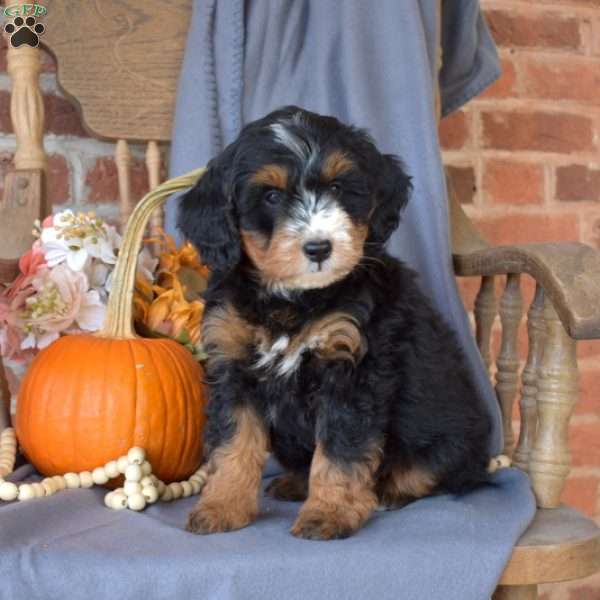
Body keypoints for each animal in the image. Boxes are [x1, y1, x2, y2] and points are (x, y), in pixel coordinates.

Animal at [178, 105, 492, 540]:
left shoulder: (351, 370)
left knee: (434, 473)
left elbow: (341, 450)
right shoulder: (233, 365)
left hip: (451, 439)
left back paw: (388, 491)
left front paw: (329, 513)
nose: (319, 248)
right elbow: (233, 442)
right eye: (271, 196)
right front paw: (221, 506)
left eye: (340, 188)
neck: (293, 300)